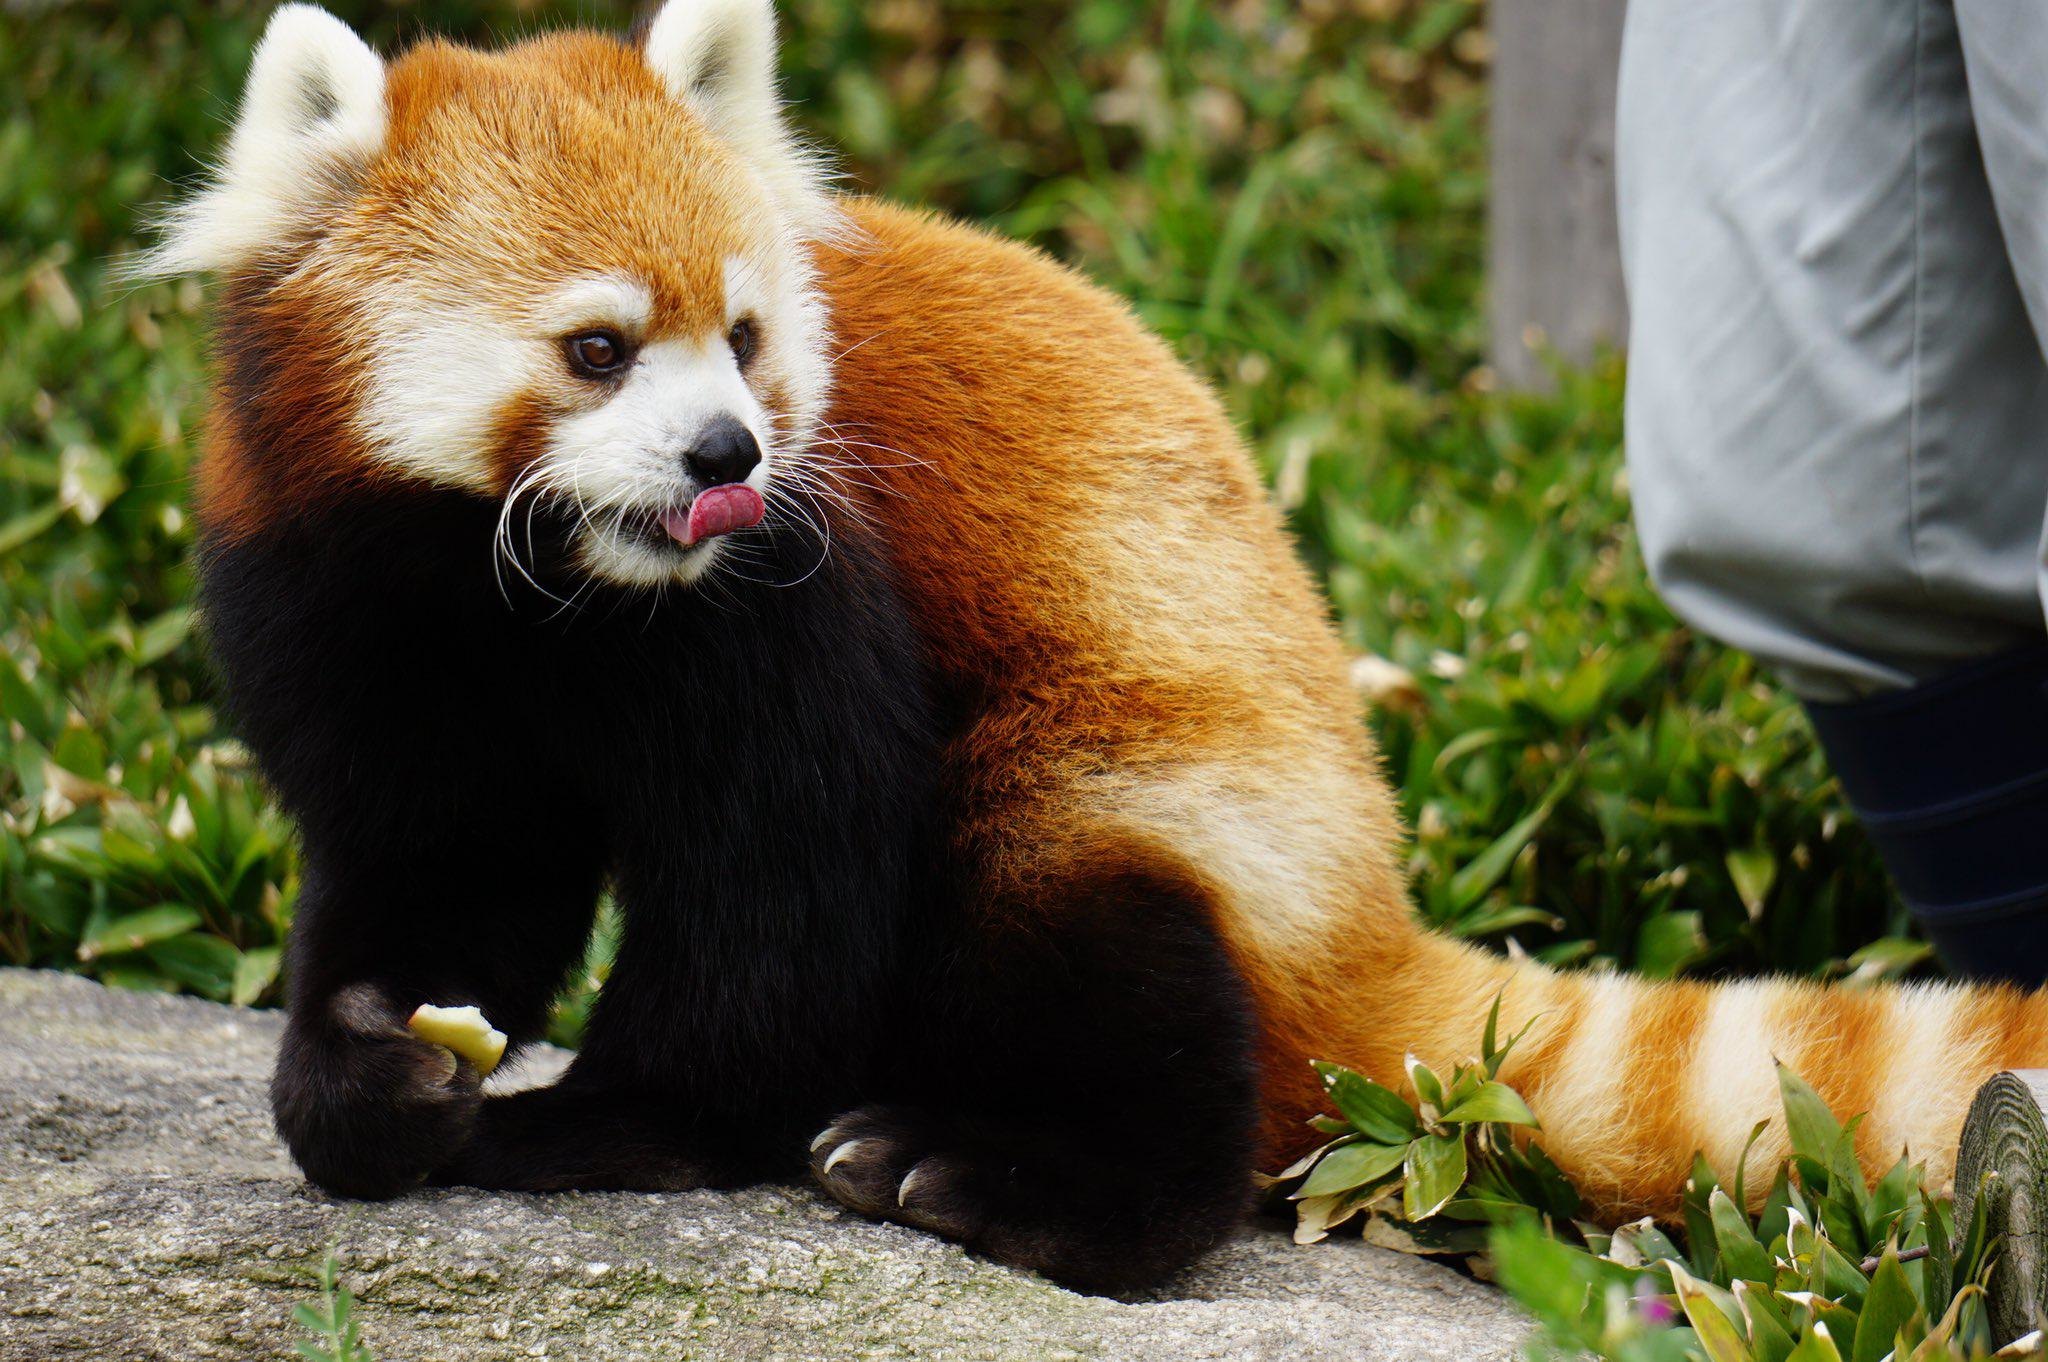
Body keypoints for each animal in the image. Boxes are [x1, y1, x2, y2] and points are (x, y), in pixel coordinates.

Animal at [148, 0, 2048, 1294]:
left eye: (746, 339)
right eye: (600, 348)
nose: (726, 456)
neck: (535, 591)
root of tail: (1363, 905)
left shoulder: (794, 596)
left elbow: (778, 890)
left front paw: (610, 1122)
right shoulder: (346, 596)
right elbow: (444, 862)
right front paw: (373, 1076)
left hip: (1138, 774)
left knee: (1082, 920)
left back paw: (1003, 1179)